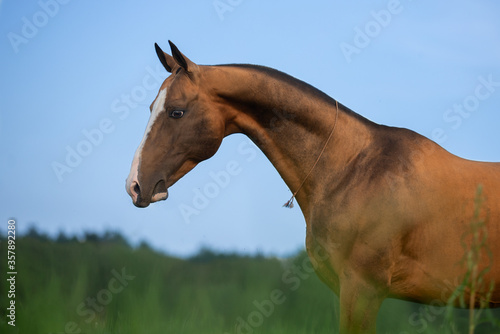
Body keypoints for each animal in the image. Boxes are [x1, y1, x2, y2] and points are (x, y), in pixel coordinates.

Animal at [126, 40, 500, 332]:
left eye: (176, 111)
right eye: (151, 107)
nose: (135, 185)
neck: (354, 169)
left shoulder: (363, 291)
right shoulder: (345, 291)